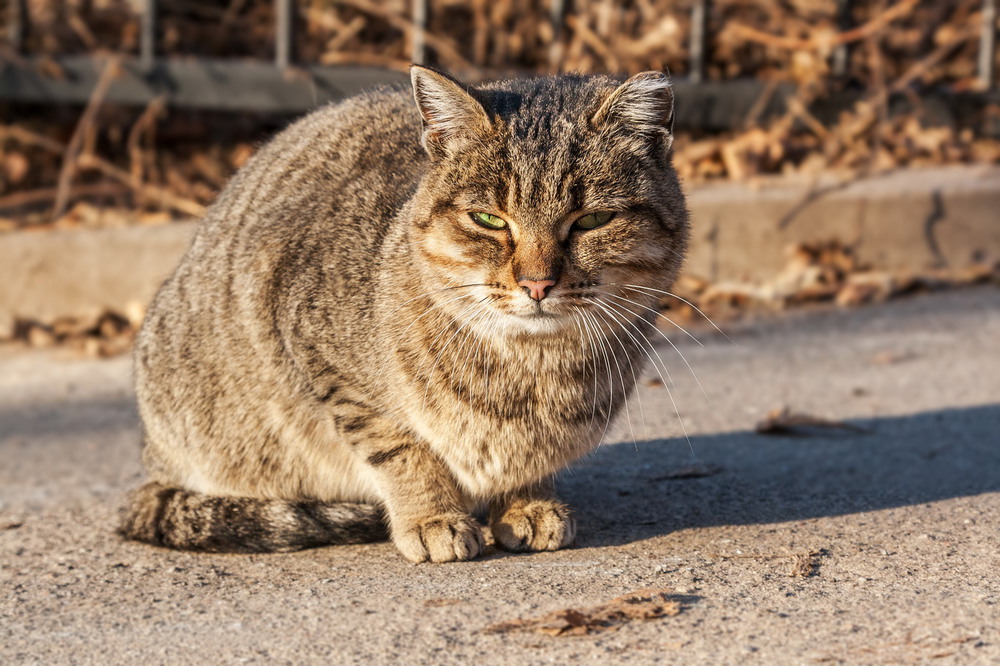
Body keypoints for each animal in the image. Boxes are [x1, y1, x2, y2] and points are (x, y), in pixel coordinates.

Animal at [119, 65, 688, 560]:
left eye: (592, 220)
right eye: (488, 220)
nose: (537, 284)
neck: (532, 366)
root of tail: (149, 455)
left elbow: (528, 462)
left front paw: (527, 502)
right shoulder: (322, 358)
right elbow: (400, 448)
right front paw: (432, 517)